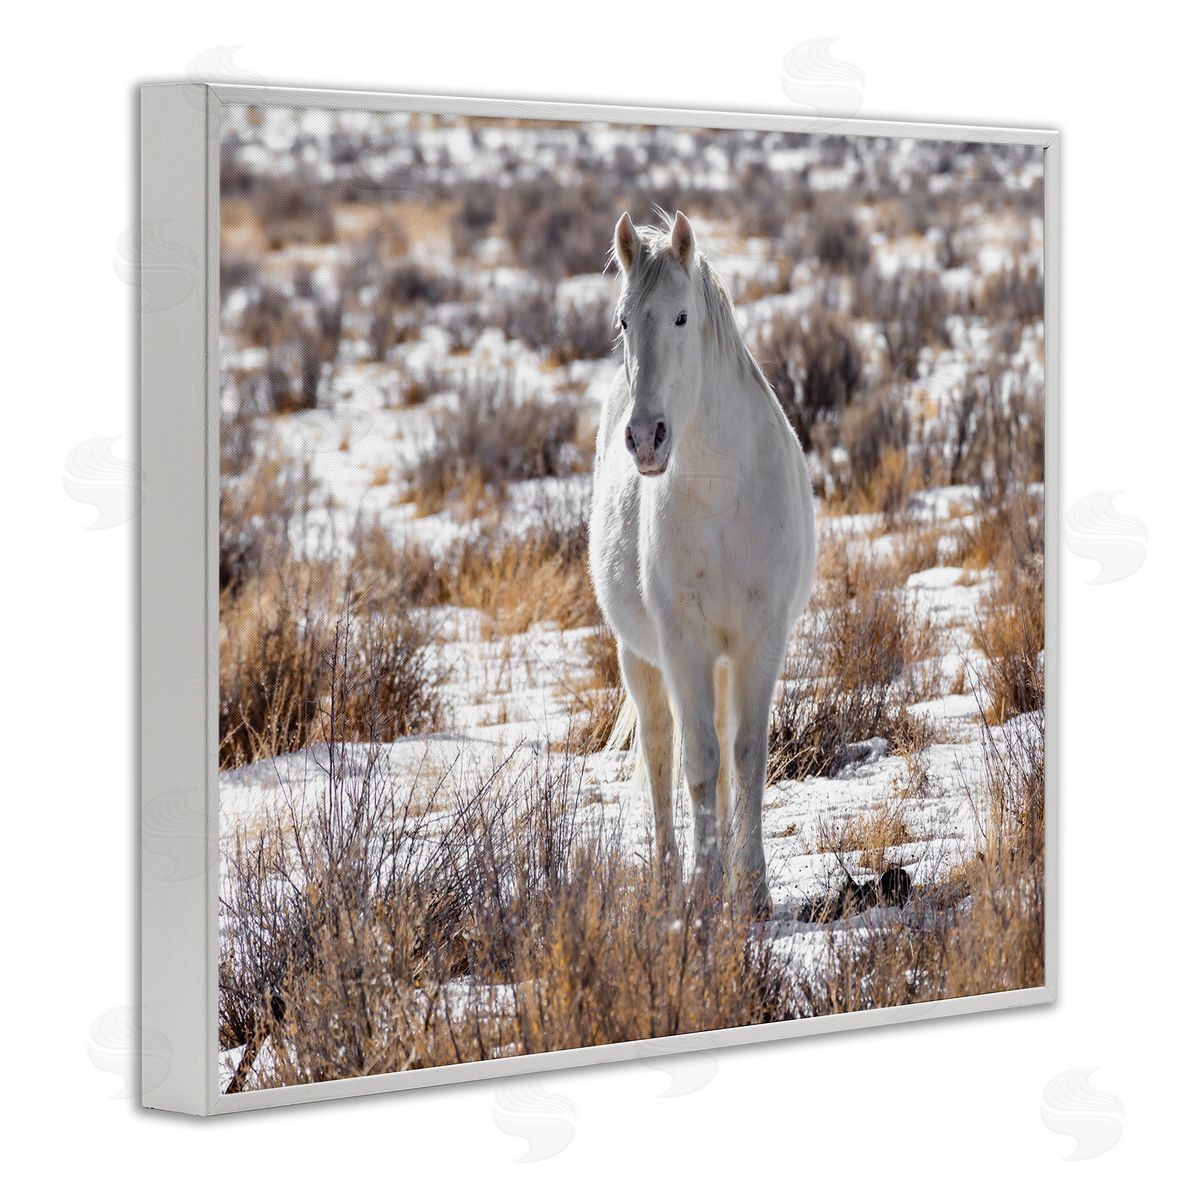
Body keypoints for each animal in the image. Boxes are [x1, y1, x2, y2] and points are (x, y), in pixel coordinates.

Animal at [588, 210, 817, 918]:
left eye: (682, 317)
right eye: (622, 321)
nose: (645, 438)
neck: (721, 492)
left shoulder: (760, 638)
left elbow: (745, 755)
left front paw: (754, 888)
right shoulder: (682, 641)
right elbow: (697, 762)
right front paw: (706, 886)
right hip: (642, 658)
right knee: (662, 749)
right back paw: (669, 874)